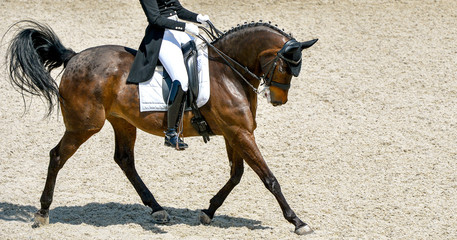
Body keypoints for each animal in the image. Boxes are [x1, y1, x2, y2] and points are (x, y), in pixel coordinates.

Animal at [4, 20, 318, 234]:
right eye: (287, 67)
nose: (279, 100)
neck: (228, 71)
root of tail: (74, 57)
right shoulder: (239, 133)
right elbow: (269, 178)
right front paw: (297, 221)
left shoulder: (236, 134)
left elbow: (236, 175)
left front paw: (208, 211)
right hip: (84, 126)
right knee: (57, 156)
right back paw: (42, 212)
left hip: (122, 122)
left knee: (124, 160)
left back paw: (157, 209)